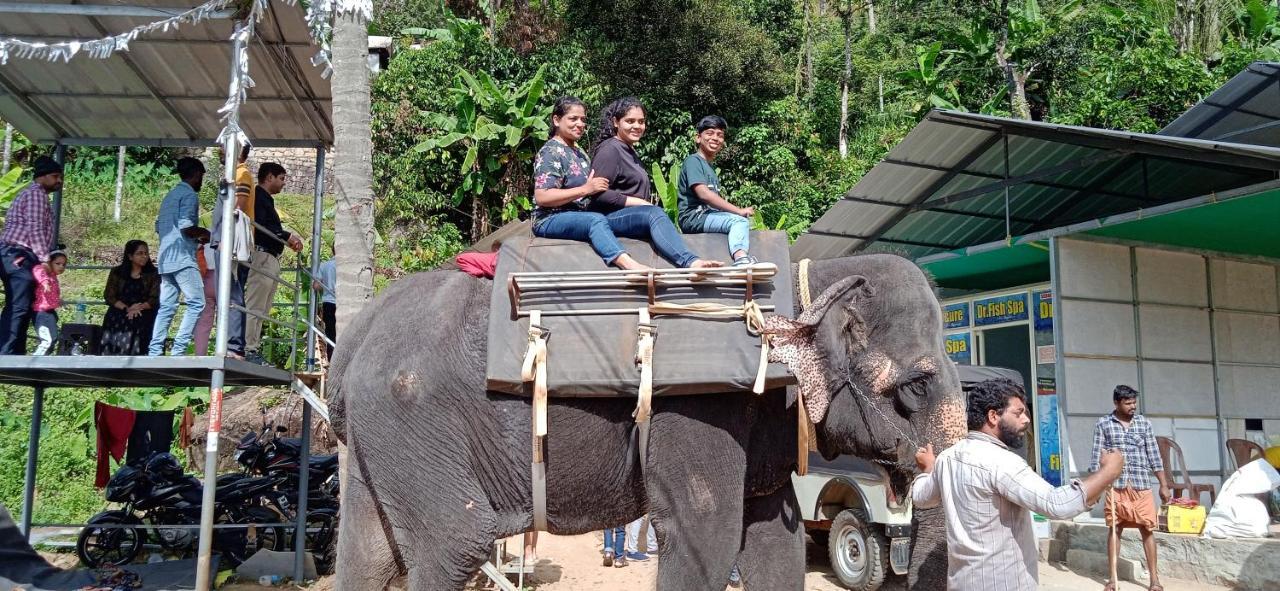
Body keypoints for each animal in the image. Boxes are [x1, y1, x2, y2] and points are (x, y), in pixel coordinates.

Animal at [325, 254, 962, 591]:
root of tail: (355, 338)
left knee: (369, 553)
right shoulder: (703, 409)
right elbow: (705, 535)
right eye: (917, 384)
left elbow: (773, 544)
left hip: (382, 443)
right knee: (451, 546)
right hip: (416, 427)